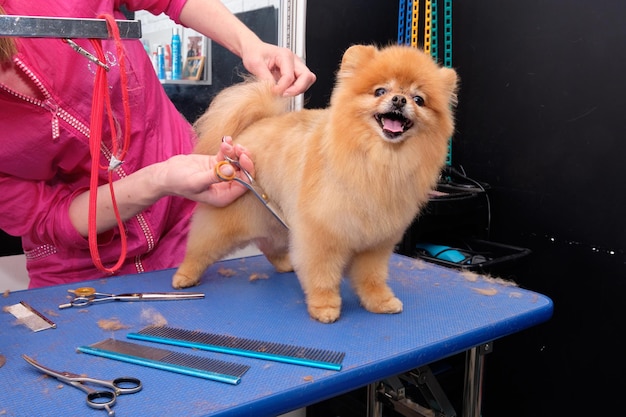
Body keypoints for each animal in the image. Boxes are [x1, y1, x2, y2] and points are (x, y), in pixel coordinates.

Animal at [173, 44, 456, 322]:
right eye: (380, 91)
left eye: (418, 99)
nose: (399, 99)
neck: (379, 160)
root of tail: (256, 124)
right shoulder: (321, 233)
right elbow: (322, 274)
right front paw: (325, 306)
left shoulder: (376, 243)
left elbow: (371, 277)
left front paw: (380, 301)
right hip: (234, 215)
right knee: (201, 245)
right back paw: (184, 276)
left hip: (277, 218)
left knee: (268, 243)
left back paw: (285, 264)